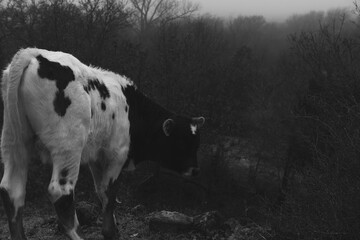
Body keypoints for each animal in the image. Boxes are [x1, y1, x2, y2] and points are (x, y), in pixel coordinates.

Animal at [0, 47, 205, 240]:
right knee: (60, 191)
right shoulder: (117, 154)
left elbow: (101, 192)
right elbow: (110, 192)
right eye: (181, 142)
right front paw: (109, 232)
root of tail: (34, 54)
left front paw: (112, 228)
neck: (131, 108)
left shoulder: (97, 157)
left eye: (196, 144)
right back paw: (78, 234)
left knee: (12, 190)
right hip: (68, 146)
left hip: (14, 141)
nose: (195, 170)